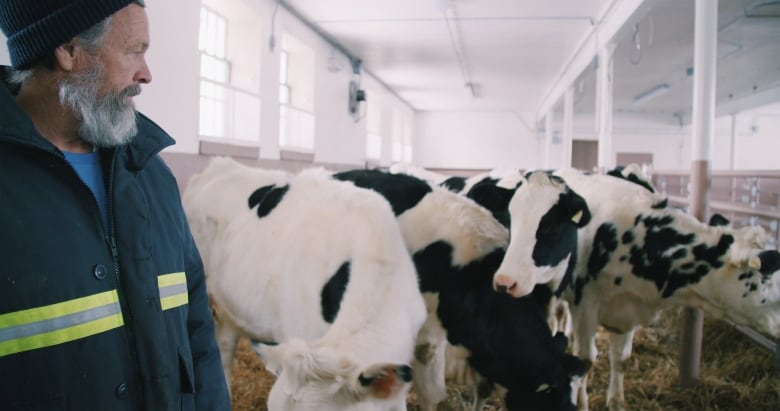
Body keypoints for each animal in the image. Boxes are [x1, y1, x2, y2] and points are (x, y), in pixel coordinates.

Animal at [494, 170, 780, 411]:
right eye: (767, 278)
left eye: (550, 227)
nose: (778, 325)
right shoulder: (585, 305)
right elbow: (585, 360)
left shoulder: (628, 309)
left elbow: (621, 359)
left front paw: (616, 402)